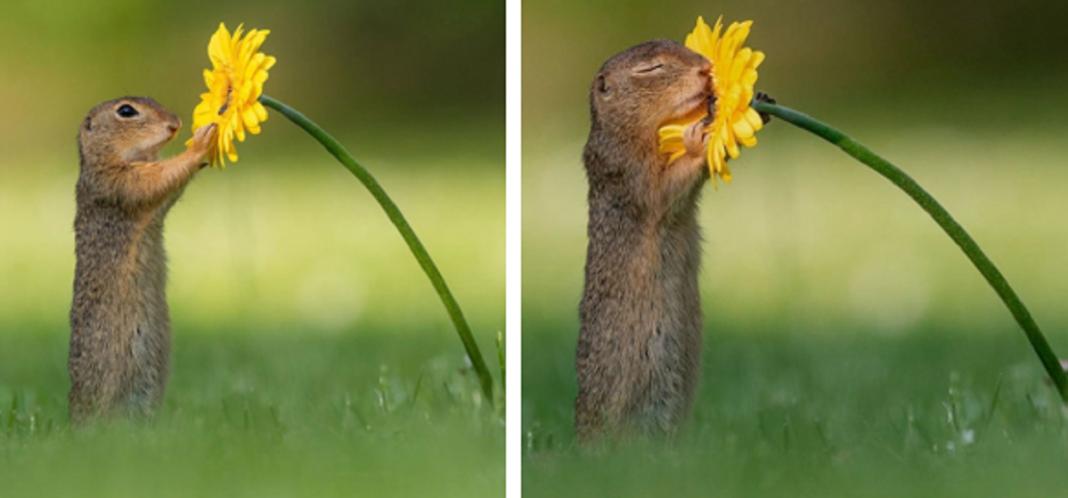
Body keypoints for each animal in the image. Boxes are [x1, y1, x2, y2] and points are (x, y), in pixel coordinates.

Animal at [68, 95, 216, 423]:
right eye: (126, 111)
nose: (175, 124)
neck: (103, 159)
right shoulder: (120, 182)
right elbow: (159, 177)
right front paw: (201, 143)